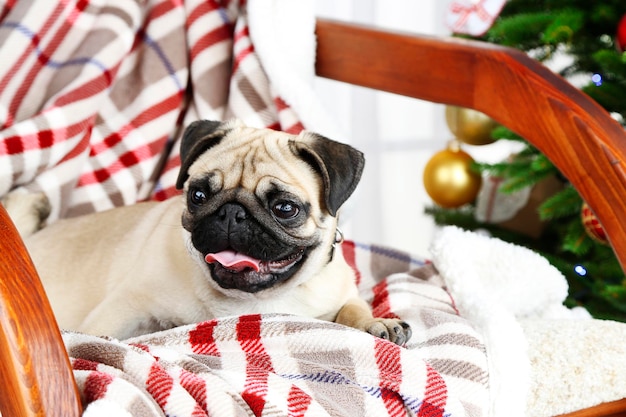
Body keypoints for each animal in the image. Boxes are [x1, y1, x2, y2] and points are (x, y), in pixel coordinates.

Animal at [11, 118, 410, 342]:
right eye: (198, 195)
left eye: (285, 208)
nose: (232, 214)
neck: (251, 301)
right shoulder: (125, 307)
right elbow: (98, 335)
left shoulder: (340, 294)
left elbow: (353, 308)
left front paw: (376, 322)